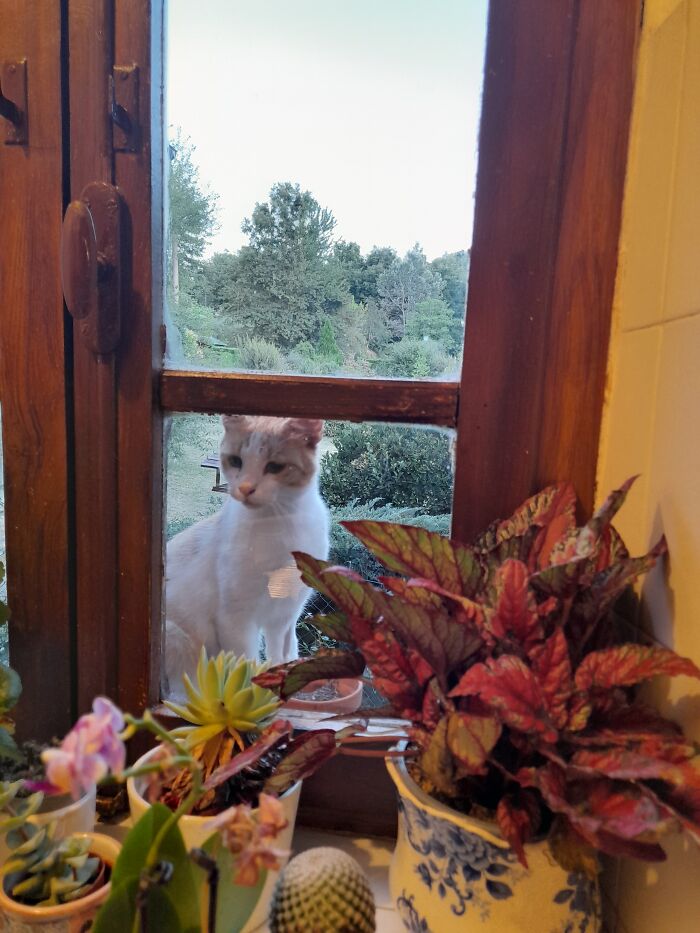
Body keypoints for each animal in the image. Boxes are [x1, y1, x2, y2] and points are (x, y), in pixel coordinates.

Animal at [163, 415, 330, 695]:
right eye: (236, 461)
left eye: (275, 466)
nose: (245, 488)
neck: (278, 526)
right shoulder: (237, 620)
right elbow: (247, 664)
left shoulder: (286, 614)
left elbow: (283, 654)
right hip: (181, 639)